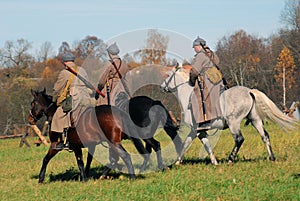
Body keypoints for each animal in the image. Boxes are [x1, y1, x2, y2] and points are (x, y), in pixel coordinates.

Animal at [161, 66, 298, 164]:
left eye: (168, 76)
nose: (162, 86)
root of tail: (249, 91)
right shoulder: (199, 131)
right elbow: (197, 144)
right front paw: (213, 162)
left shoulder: (196, 130)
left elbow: (193, 144)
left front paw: (177, 162)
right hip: (255, 120)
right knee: (265, 136)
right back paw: (272, 158)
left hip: (234, 122)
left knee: (239, 139)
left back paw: (230, 160)